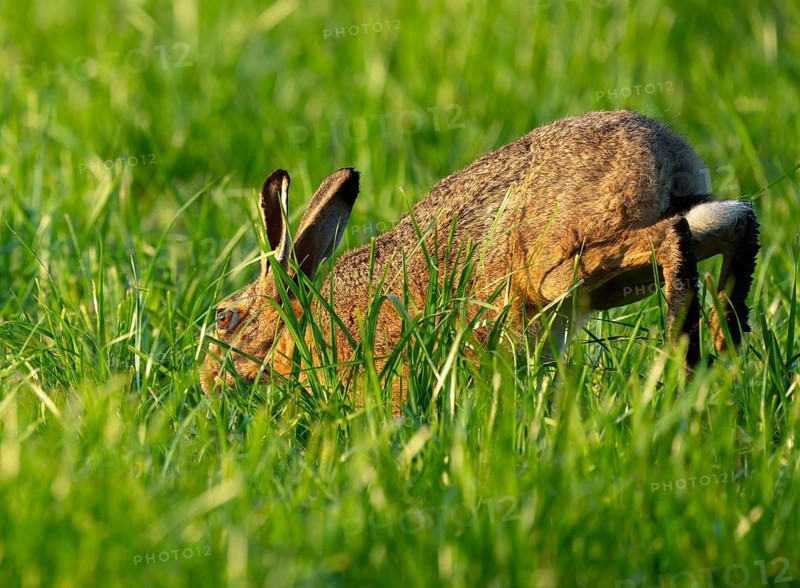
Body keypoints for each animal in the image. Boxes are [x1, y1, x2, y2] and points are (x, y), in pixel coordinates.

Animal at [200, 110, 760, 400]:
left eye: (225, 319)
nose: (205, 381)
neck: (298, 323)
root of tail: (663, 150)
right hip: (620, 270)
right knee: (735, 219)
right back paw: (726, 345)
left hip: (559, 269)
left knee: (672, 238)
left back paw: (686, 360)